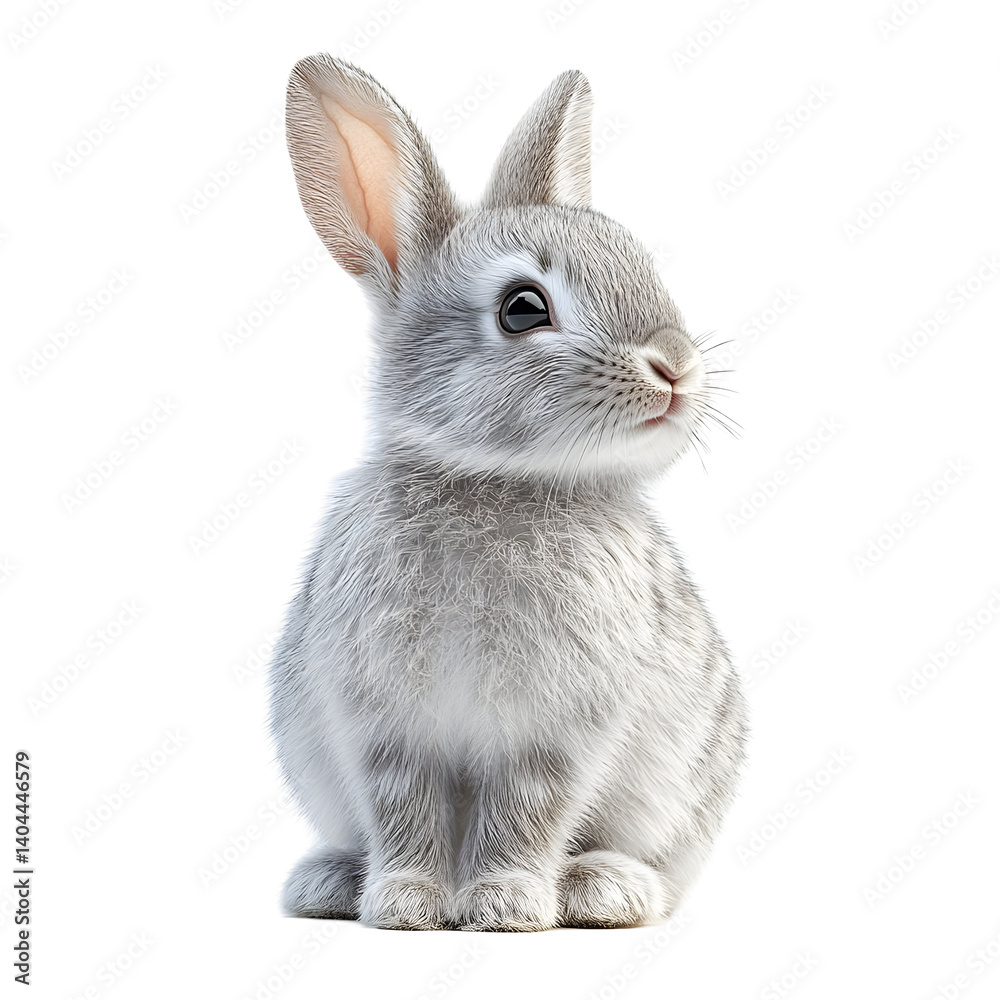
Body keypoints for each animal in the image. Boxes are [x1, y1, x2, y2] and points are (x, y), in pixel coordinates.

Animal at [269, 54, 747, 932]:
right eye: (523, 309)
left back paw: (605, 888)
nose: (677, 368)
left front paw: (507, 904)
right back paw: (329, 882)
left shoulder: (554, 734)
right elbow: (405, 810)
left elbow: (527, 812)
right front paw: (407, 904)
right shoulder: (387, 728)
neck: (494, 482)